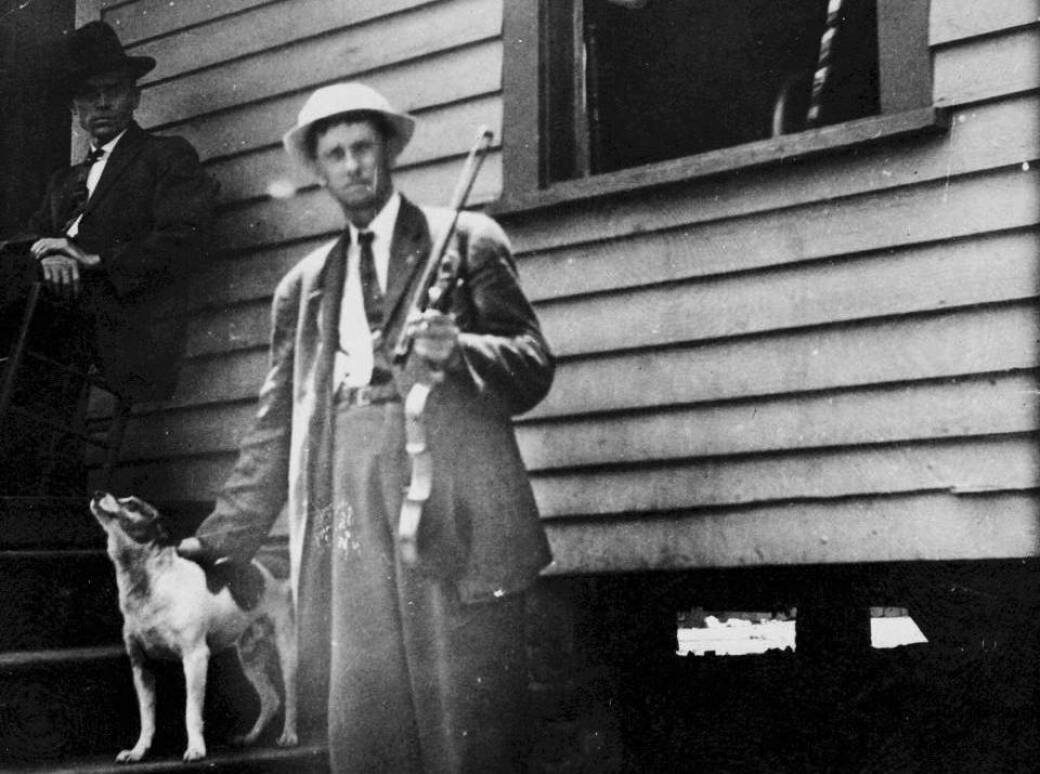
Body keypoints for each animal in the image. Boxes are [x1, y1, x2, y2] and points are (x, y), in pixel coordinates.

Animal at [89, 493, 297, 757]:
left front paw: (196, 748)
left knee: (290, 696)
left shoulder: (195, 658)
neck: (151, 582)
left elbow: (191, 713)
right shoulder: (141, 665)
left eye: (132, 505)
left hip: (287, 650)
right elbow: (147, 717)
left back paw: (289, 735)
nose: (97, 493)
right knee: (271, 699)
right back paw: (250, 737)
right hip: (250, 656)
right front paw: (138, 751)